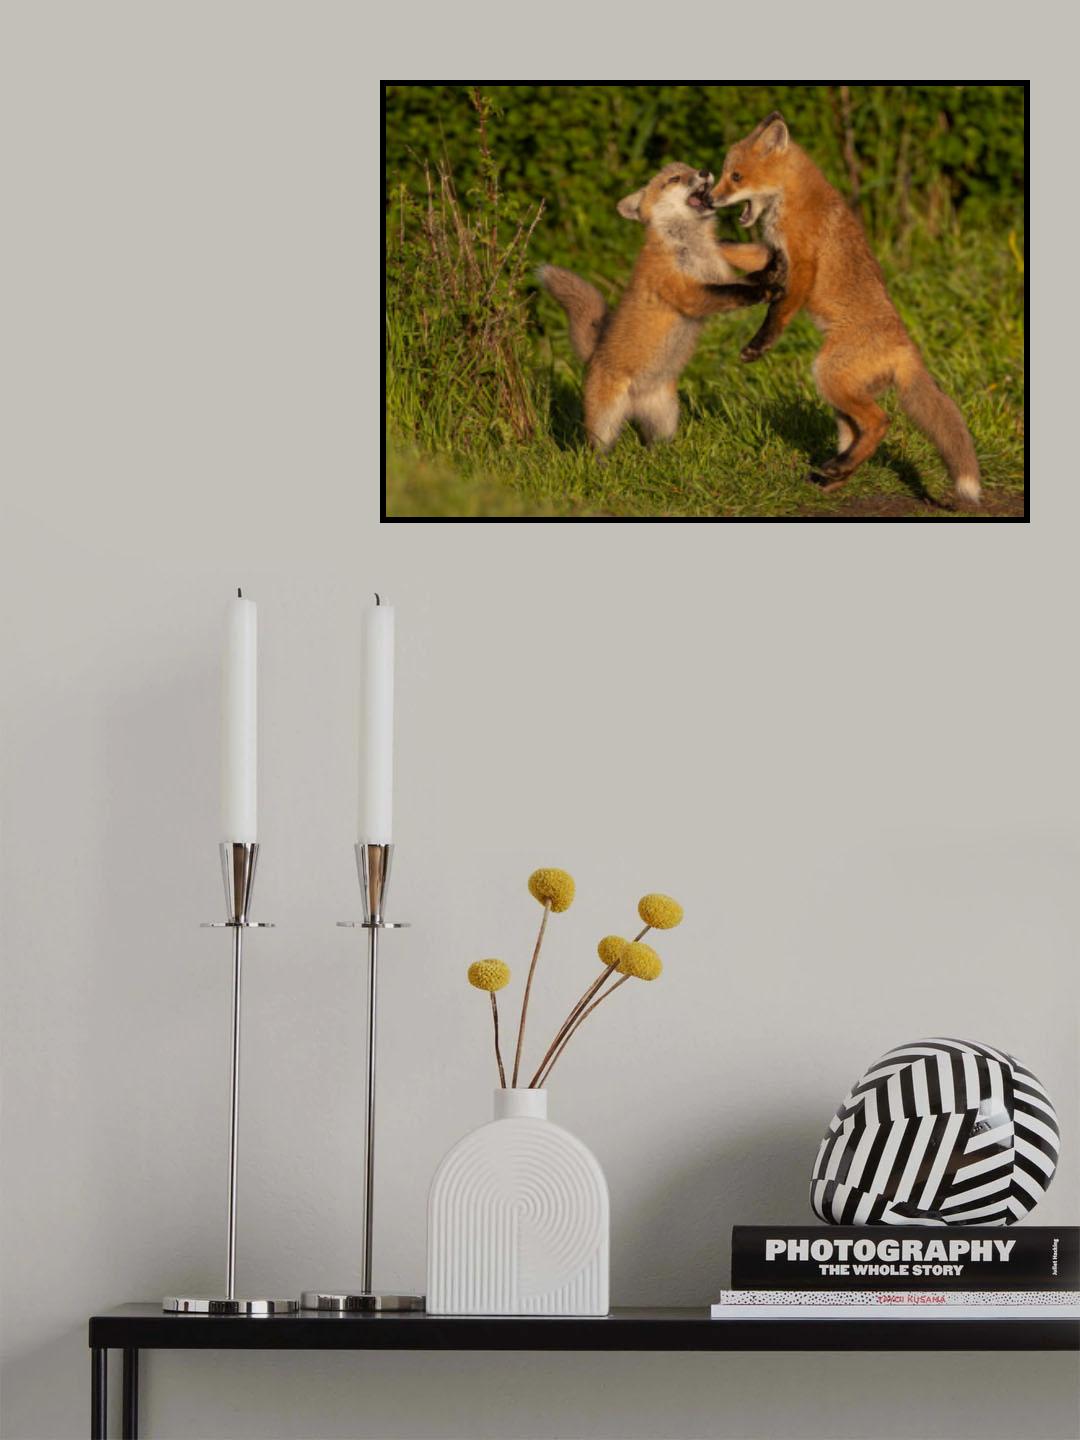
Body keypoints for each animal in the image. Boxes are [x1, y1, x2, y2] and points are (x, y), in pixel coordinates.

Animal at [538, 162, 781, 452]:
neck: (690, 247)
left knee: (655, 446)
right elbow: (736, 291)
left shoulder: (718, 275)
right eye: (674, 179)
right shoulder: (688, 294)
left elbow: (744, 278)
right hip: (603, 428)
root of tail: (594, 355)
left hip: (665, 418)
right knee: (595, 449)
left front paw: (774, 272)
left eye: (690, 169)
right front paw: (763, 291)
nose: (704, 171)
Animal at [711, 113, 981, 503]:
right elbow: (730, 249)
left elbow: (779, 312)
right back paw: (835, 475)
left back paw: (837, 469)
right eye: (724, 174)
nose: (709, 198)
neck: (791, 200)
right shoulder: (771, 253)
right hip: (839, 395)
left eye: (735, 176)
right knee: (859, 433)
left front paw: (759, 346)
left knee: (880, 422)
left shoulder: (802, 264)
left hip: (828, 374)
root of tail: (907, 349)